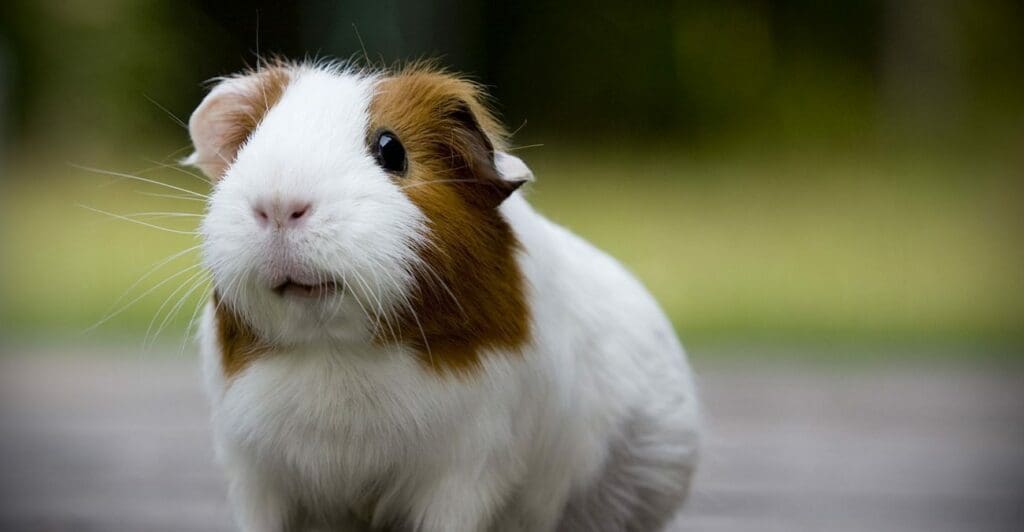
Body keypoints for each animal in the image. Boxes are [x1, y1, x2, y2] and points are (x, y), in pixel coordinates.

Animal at [186, 59, 700, 532]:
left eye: (391, 149)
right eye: (248, 144)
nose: (277, 206)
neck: (334, 350)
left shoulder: (463, 473)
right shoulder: (256, 476)